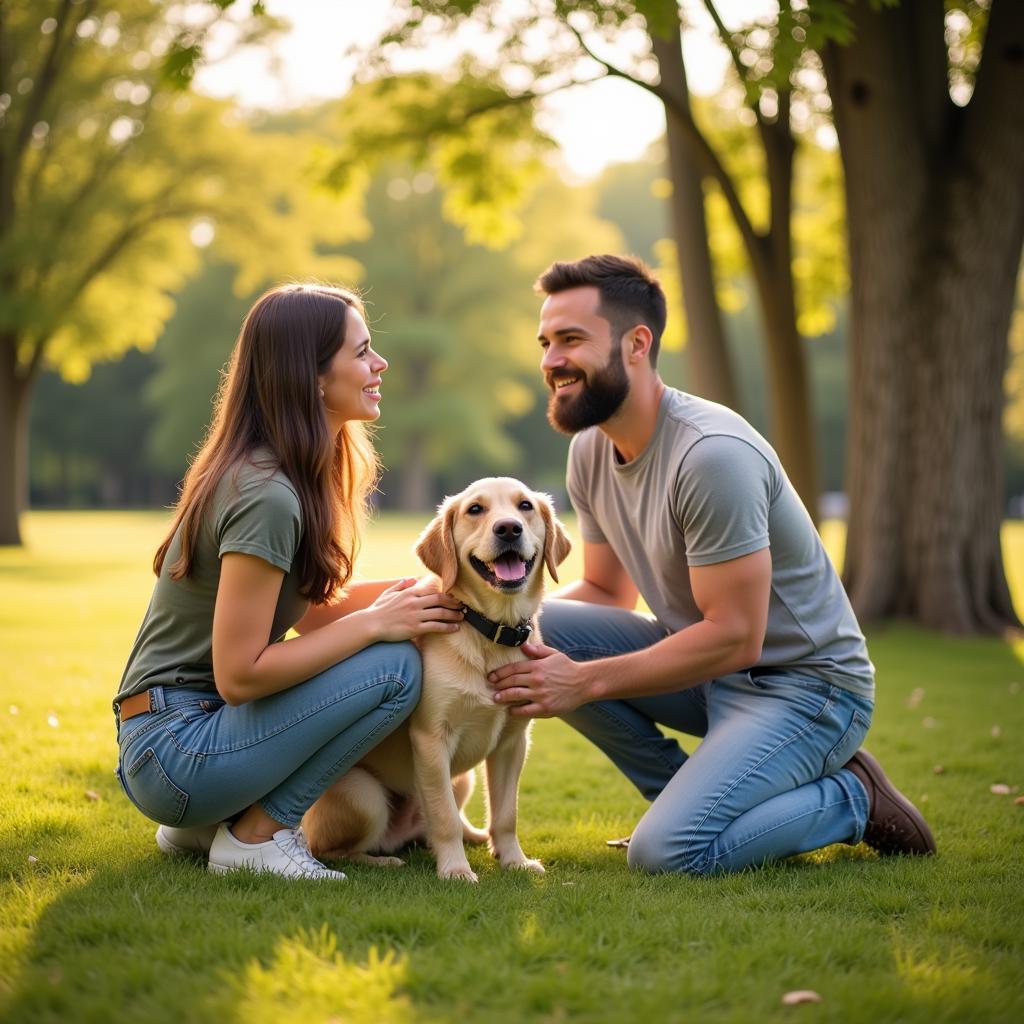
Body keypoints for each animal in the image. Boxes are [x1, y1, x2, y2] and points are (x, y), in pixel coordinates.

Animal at [299, 475, 573, 876]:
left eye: (525, 506)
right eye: (475, 509)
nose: (509, 528)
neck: (490, 631)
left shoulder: (513, 741)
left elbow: (506, 815)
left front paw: (514, 860)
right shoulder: (431, 738)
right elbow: (443, 816)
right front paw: (456, 870)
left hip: (463, 779)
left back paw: (475, 836)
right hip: (364, 795)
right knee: (330, 848)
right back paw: (382, 860)